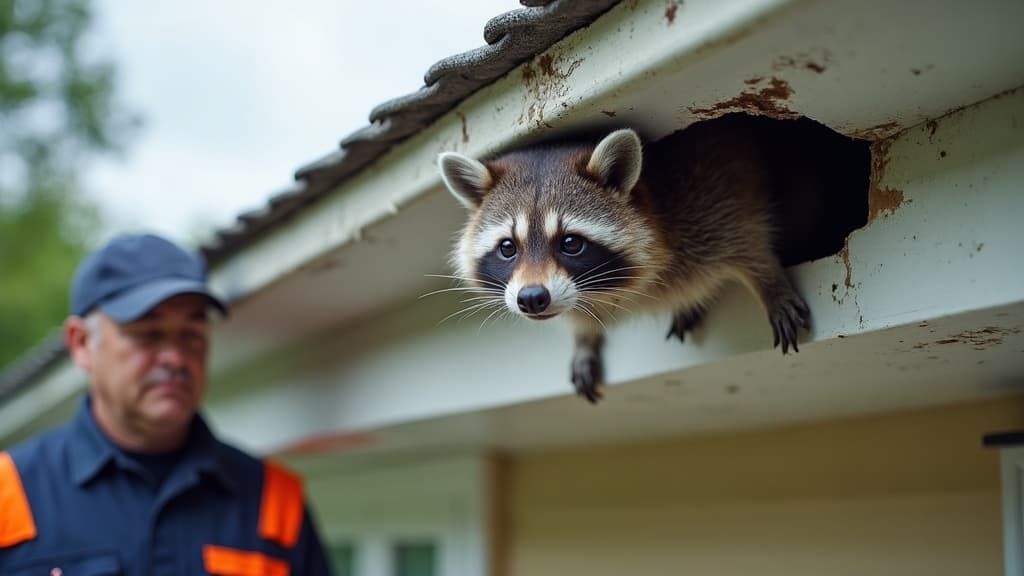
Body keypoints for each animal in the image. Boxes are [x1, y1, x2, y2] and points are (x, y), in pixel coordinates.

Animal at [437, 115, 811, 403]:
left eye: (571, 243)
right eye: (507, 248)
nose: (531, 298)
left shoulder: (705, 192)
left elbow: (745, 235)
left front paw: (769, 281)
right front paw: (584, 337)